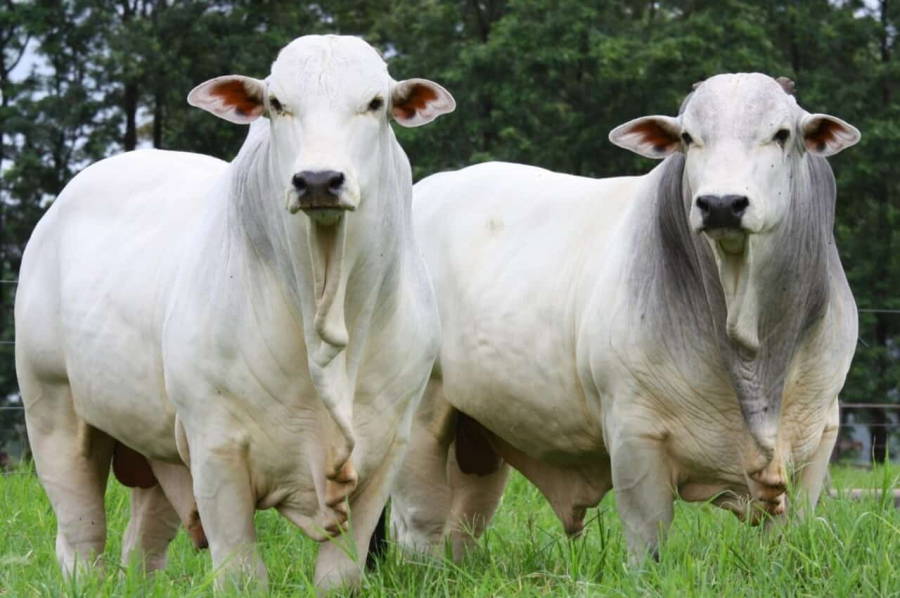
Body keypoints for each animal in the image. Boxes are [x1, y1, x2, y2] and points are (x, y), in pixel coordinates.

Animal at [16, 35, 458, 592]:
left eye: (375, 103)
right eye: (276, 103)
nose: (318, 180)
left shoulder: (384, 452)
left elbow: (339, 576)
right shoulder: (215, 449)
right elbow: (243, 574)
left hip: (158, 449)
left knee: (144, 546)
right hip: (52, 410)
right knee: (81, 541)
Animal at [390, 72, 860, 564]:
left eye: (782, 134)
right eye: (688, 138)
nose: (721, 204)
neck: (752, 351)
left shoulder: (818, 439)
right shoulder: (635, 436)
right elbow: (647, 540)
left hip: (476, 435)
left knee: (464, 521)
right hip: (420, 416)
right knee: (418, 523)